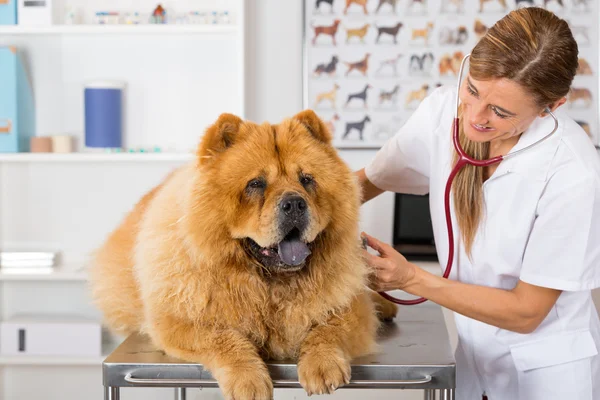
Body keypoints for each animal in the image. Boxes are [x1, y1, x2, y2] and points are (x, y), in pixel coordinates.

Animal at [89, 110, 396, 400]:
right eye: (256, 184)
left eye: (307, 180)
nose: (295, 203)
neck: (271, 285)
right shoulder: (179, 320)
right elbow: (223, 339)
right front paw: (248, 380)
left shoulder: (351, 309)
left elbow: (330, 329)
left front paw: (322, 365)